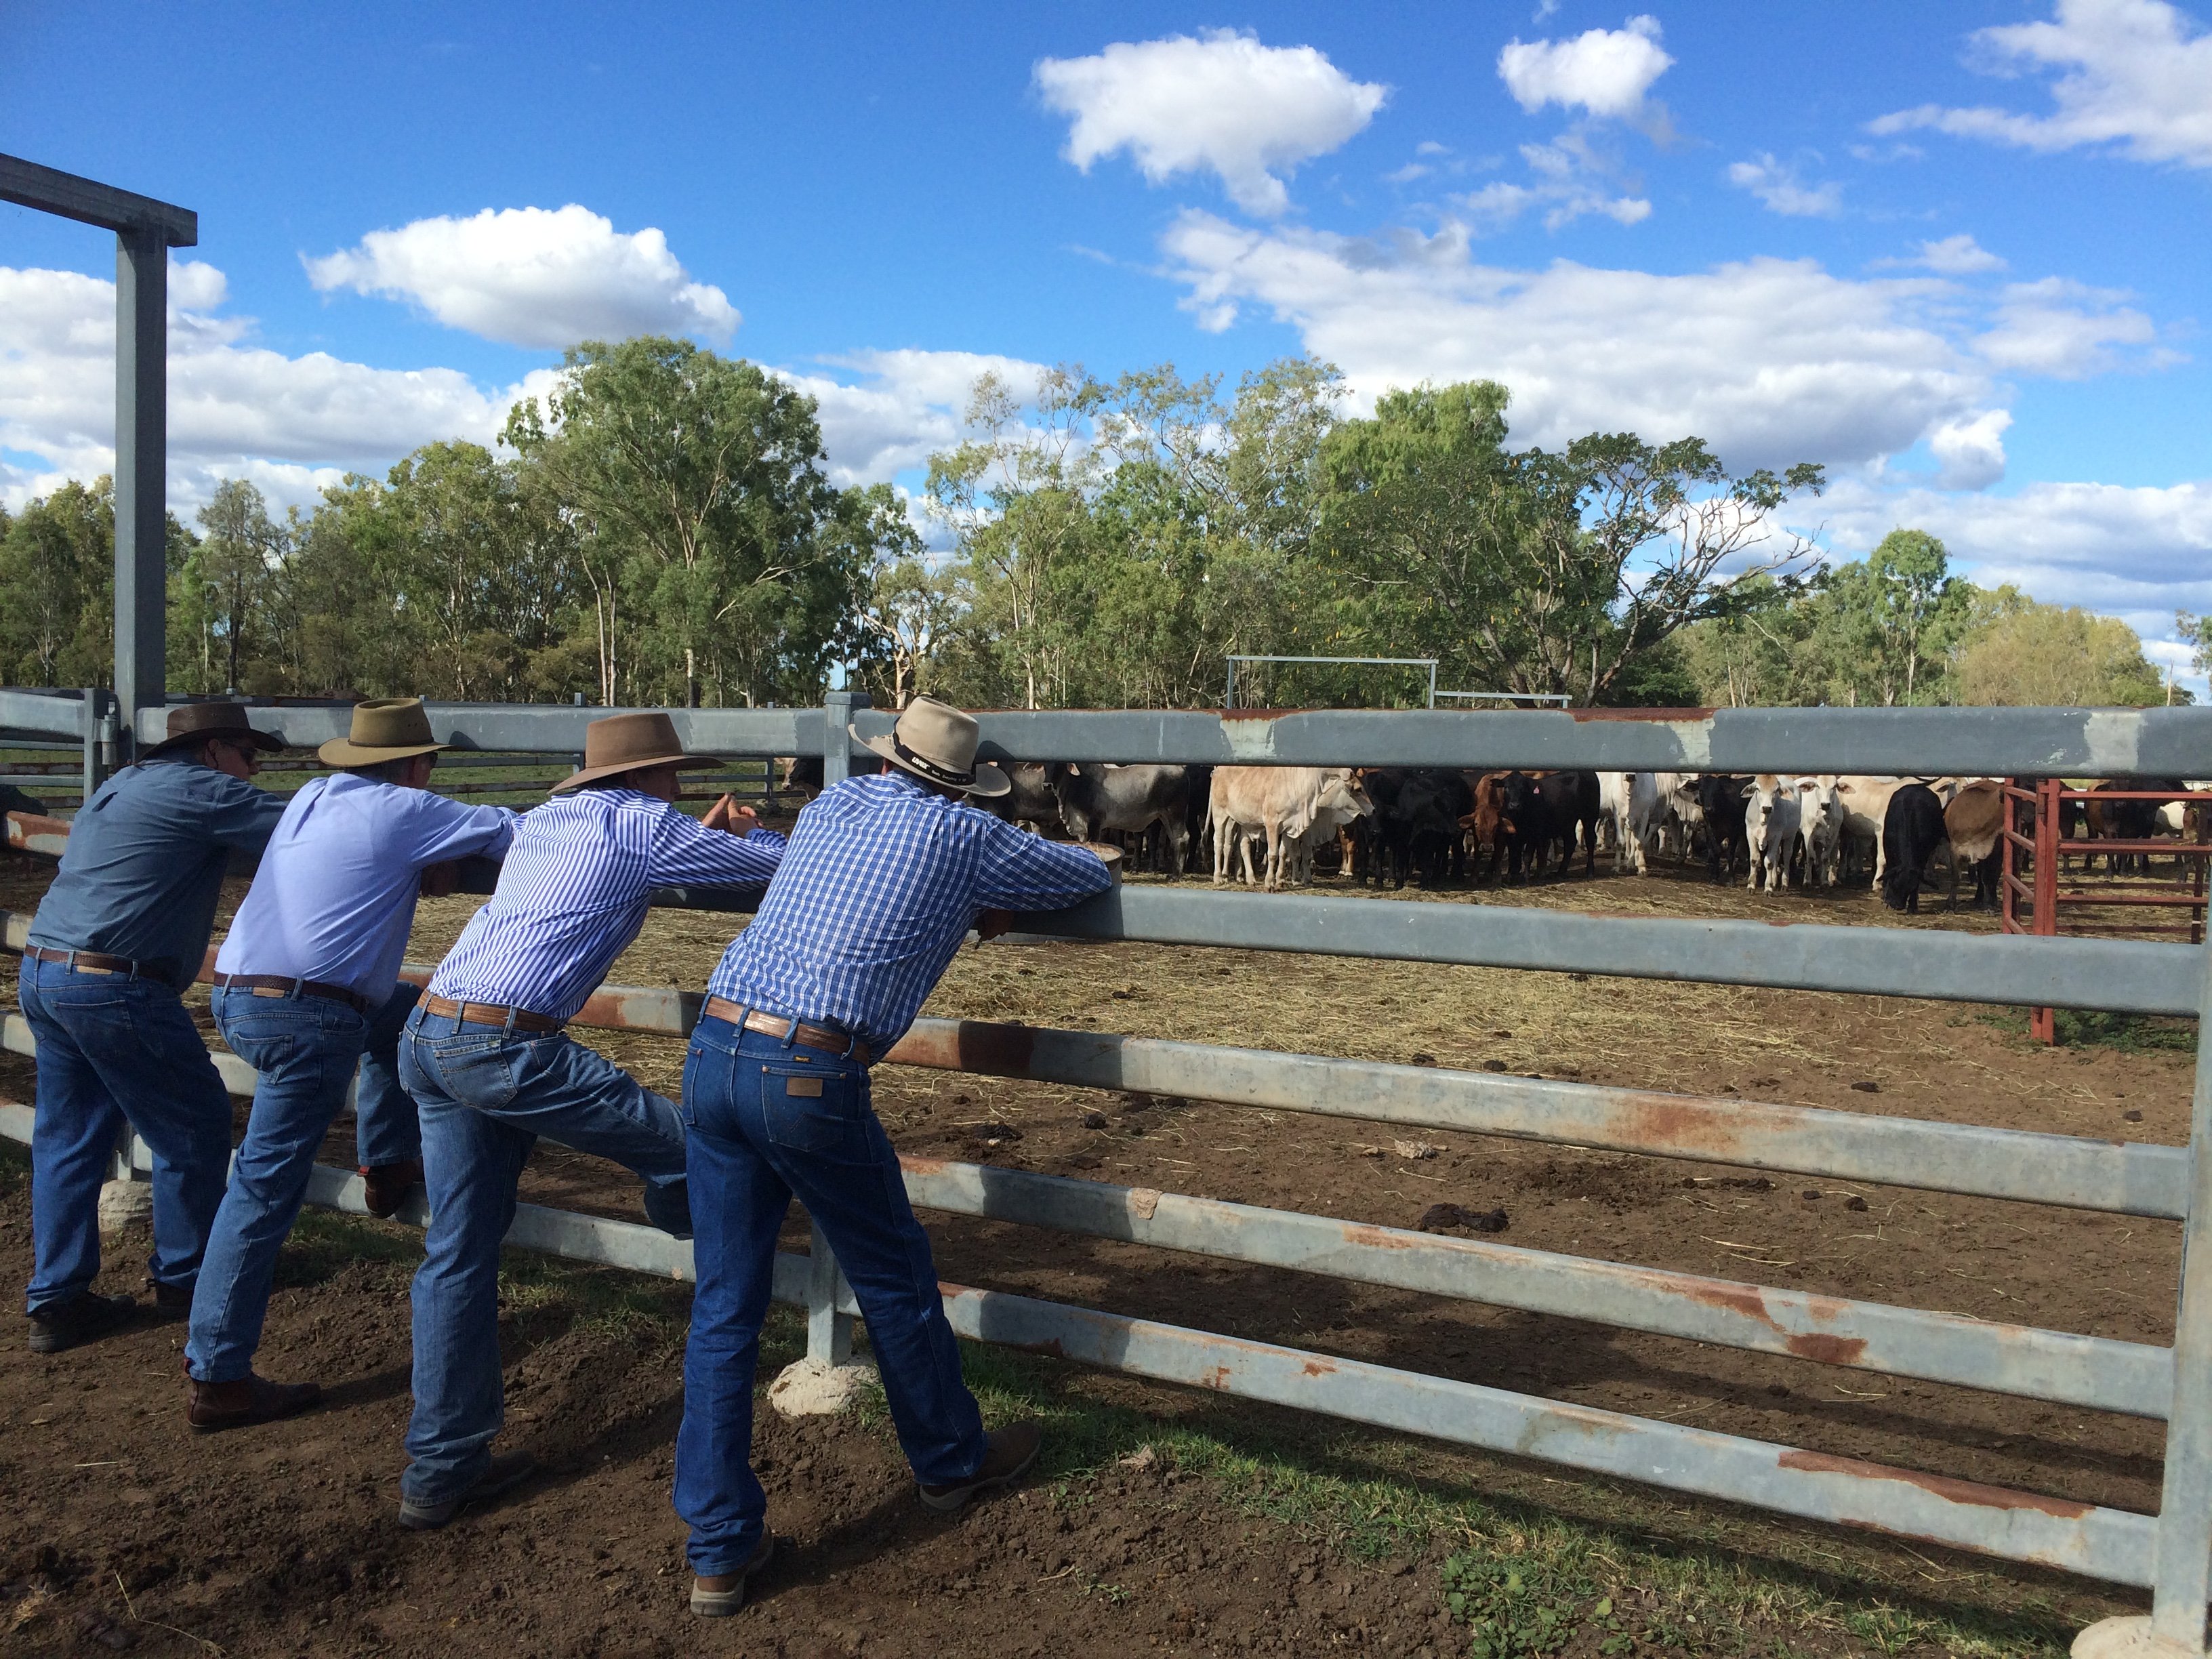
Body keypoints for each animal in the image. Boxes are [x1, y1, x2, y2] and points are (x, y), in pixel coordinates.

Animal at [1875, 783, 1946, 916]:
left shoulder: (1923, 856)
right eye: (1894, 885)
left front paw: (1913, 905)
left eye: (1910, 888)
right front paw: (1886, 899)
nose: (1897, 906)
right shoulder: (1888, 851)